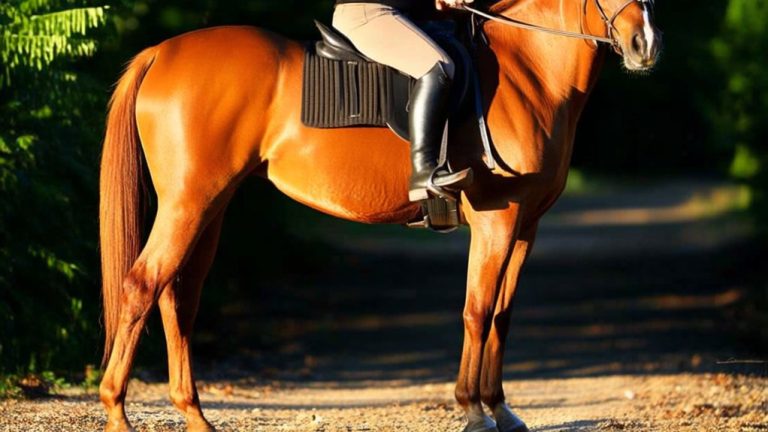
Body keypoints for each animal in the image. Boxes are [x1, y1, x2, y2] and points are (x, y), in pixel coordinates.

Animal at [97, 0, 661, 431]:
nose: (645, 44)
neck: (528, 69)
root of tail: (162, 52)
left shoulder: (526, 226)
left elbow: (501, 314)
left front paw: (501, 409)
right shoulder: (497, 220)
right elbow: (477, 312)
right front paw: (473, 411)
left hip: (208, 207)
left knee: (178, 296)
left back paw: (194, 415)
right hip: (188, 204)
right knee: (142, 286)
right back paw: (118, 413)